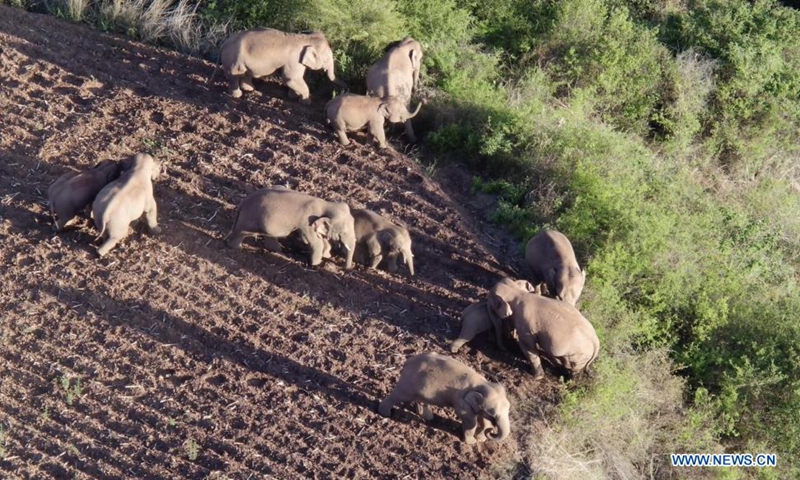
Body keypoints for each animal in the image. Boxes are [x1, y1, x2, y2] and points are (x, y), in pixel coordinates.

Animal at [225, 187, 356, 268]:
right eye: (343, 232)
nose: (345, 267)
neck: (327, 204)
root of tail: (243, 202)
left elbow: (323, 242)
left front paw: (326, 256)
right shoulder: (306, 223)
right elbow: (316, 243)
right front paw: (316, 265)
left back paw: (278, 251)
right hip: (249, 220)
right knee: (241, 233)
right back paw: (237, 248)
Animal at [378, 352, 511, 445]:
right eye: (493, 415)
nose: (492, 432)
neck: (483, 383)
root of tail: (408, 361)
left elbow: (483, 420)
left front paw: (481, 439)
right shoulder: (461, 402)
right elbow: (470, 421)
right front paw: (472, 443)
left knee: (420, 399)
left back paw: (427, 417)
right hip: (407, 383)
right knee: (397, 396)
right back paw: (385, 414)